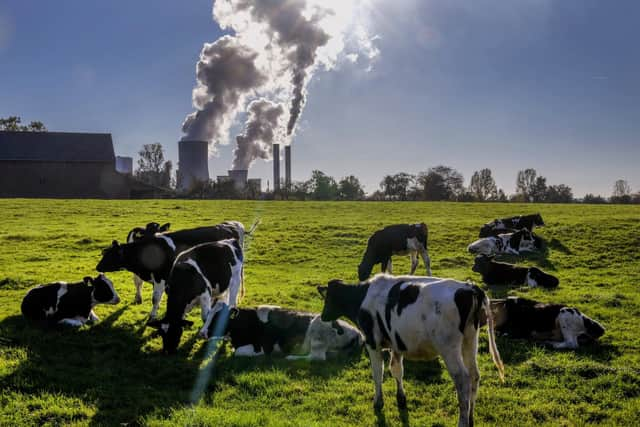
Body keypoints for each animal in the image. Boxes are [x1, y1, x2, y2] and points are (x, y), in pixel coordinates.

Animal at [97, 221, 255, 320]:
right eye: (105, 253)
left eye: (109, 255)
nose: (97, 267)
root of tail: (232, 225)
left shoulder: (160, 278)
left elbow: (155, 298)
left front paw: (152, 316)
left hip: (234, 275)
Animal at [206, 304, 362, 362]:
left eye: (217, 318)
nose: (203, 332)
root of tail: (357, 332)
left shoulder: (264, 347)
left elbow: (238, 353)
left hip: (318, 335)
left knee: (317, 357)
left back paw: (291, 357)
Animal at [318, 274, 502, 427]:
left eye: (328, 298)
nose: (323, 316)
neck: (362, 297)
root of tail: (469, 287)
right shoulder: (396, 343)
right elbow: (397, 370)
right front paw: (401, 399)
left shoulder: (372, 342)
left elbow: (378, 373)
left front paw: (378, 402)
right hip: (470, 340)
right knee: (474, 375)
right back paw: (470, 418)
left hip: (449, 348)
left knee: (462, 379)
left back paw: (462, 422)